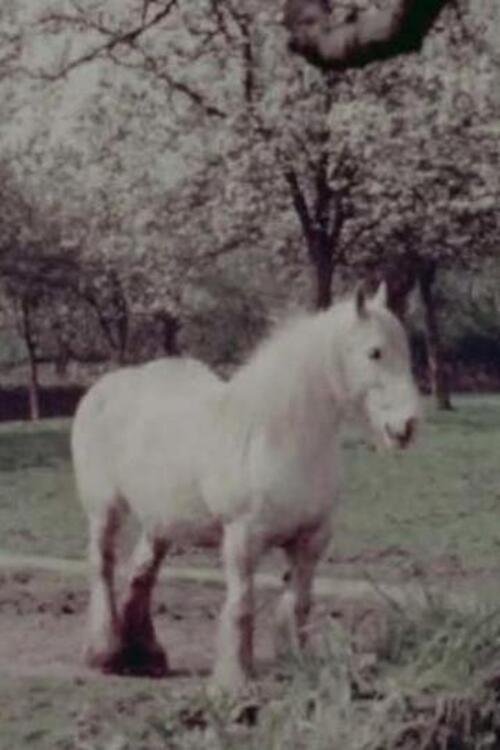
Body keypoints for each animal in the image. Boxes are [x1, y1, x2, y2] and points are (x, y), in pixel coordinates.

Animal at [72, 286, 420, 692]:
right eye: (374, 352)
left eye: (405, 349)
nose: (406, 426)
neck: (278, 436)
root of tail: (104, 388)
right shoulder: (242, 537)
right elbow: (241, 605)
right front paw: (233, 681)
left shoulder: (311, 539)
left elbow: (299, 604)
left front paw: (296, 664)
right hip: (104, 511)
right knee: (102, 566)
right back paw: (105, 653)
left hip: (159, 523)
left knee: (142, 574)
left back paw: (145, 657)